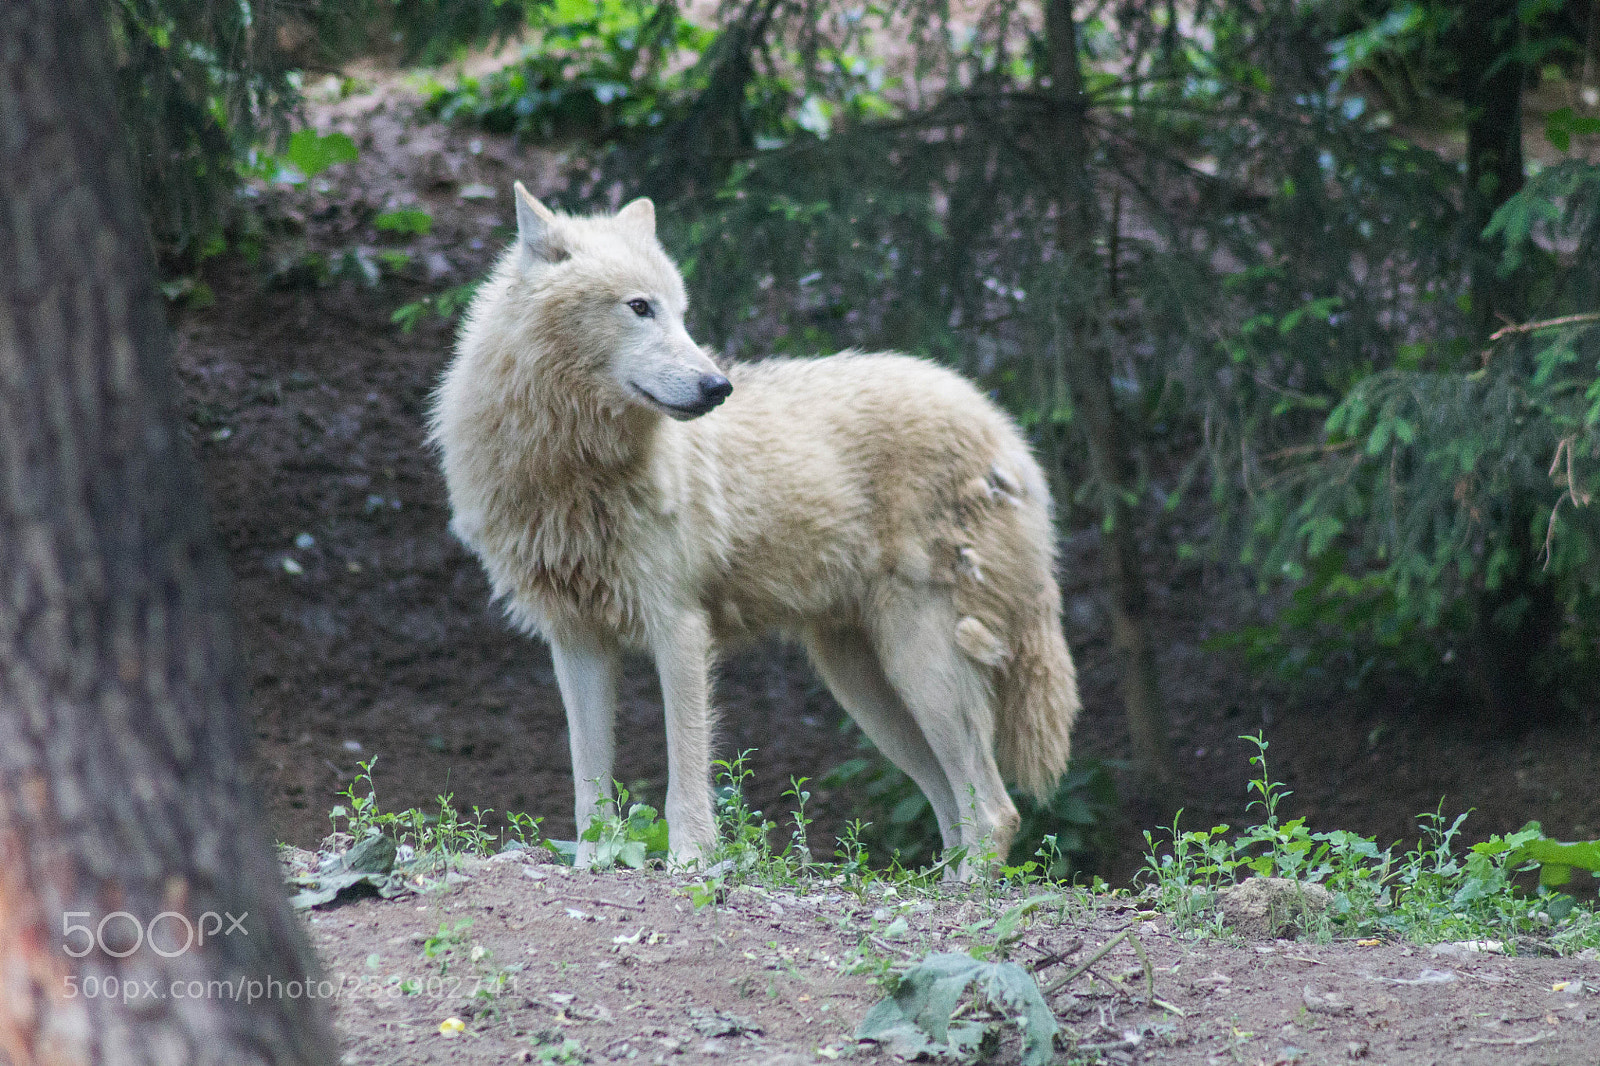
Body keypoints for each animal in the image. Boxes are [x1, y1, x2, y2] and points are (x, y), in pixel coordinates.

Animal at [430, 183, 1080, 872]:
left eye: (681, 313)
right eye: (640, 308)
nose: (718, 386)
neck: (571, 467)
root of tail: (1005, 430)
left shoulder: (679, 628)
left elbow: (685, 778)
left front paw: (690, 867)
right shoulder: (576, 641)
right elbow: (590, 788)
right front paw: (592, 867)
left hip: (921, 666)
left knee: (994, 811)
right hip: (867, 688)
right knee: (955, 811)